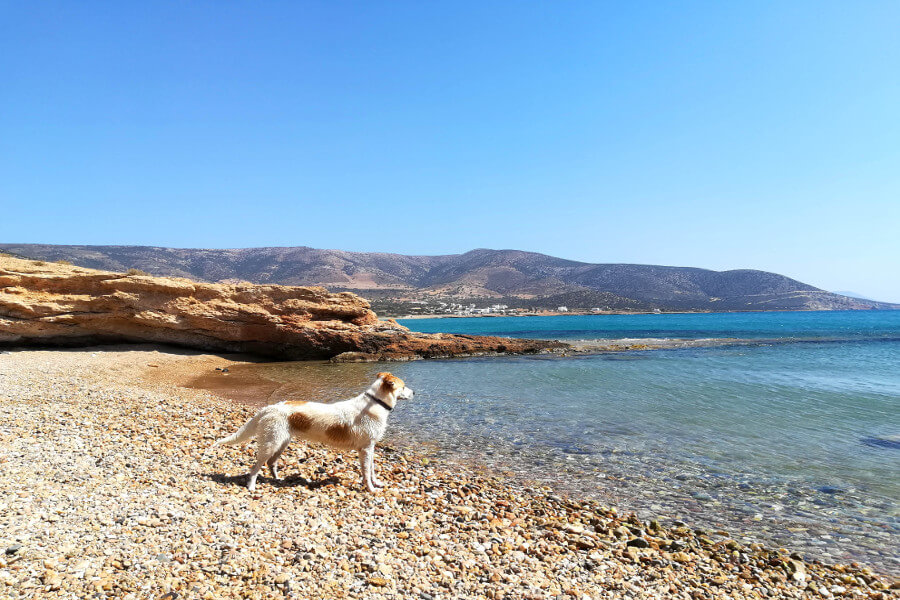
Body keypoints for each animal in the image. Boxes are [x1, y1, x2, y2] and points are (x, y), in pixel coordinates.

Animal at [211, 370, 412, 492]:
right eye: (403, 386)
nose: (415, 393)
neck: (375, 403)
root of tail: (269, 408)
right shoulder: (365, 449)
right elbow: (366, 472)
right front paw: (370, 489)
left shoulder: (370, 448)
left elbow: (372, 470)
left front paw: (376, 483)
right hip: (271, 443)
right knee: (255, 467)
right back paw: (251, 486)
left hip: (282, 442)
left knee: (271, 463)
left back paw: (278, 480)